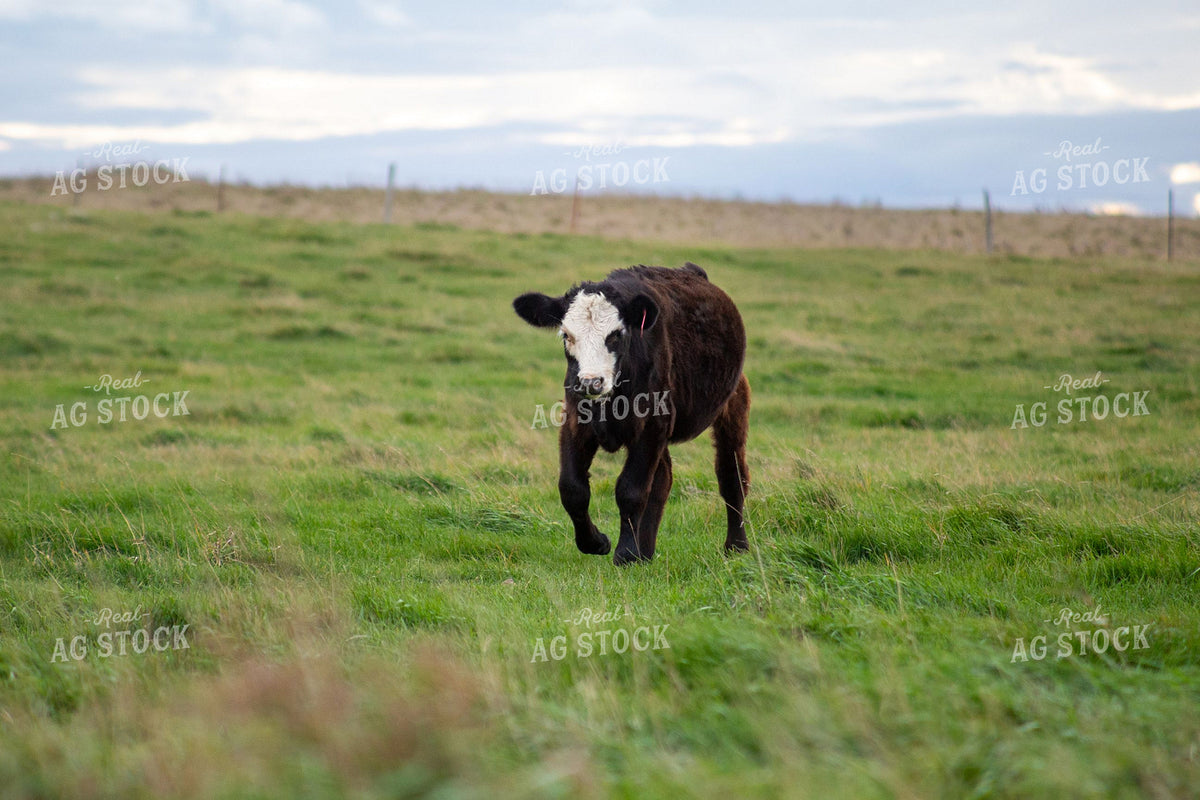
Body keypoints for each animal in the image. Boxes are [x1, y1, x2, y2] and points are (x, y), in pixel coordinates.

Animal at [513, 262, 750, 565]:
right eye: (567, 335)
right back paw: (645, 551)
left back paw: (736, 546)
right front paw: (596, 542)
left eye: (615, 334)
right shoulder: (576, 421)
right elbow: (572, 488)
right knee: (663, 480)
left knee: (731, 474)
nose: (591, 382)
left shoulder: (651, 425)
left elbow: (631, 490)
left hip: (733, 402)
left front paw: (625, 552)